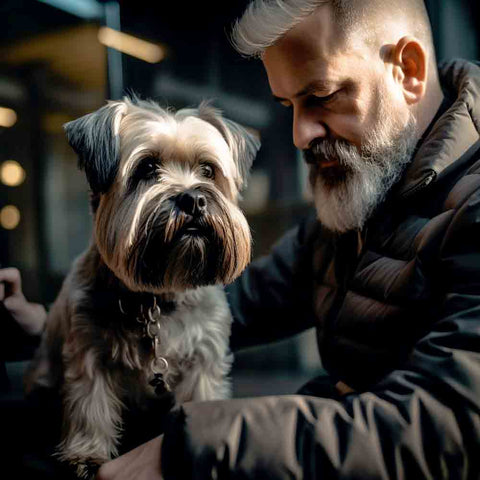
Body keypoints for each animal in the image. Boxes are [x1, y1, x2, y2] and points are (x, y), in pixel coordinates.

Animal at [24, 96, 260, 476]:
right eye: (147, 168)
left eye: (208, 171)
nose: (193, 199)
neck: (157, 299)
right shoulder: (89, 354)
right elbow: (90, 404)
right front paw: (87, 454)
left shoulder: (204, 360)